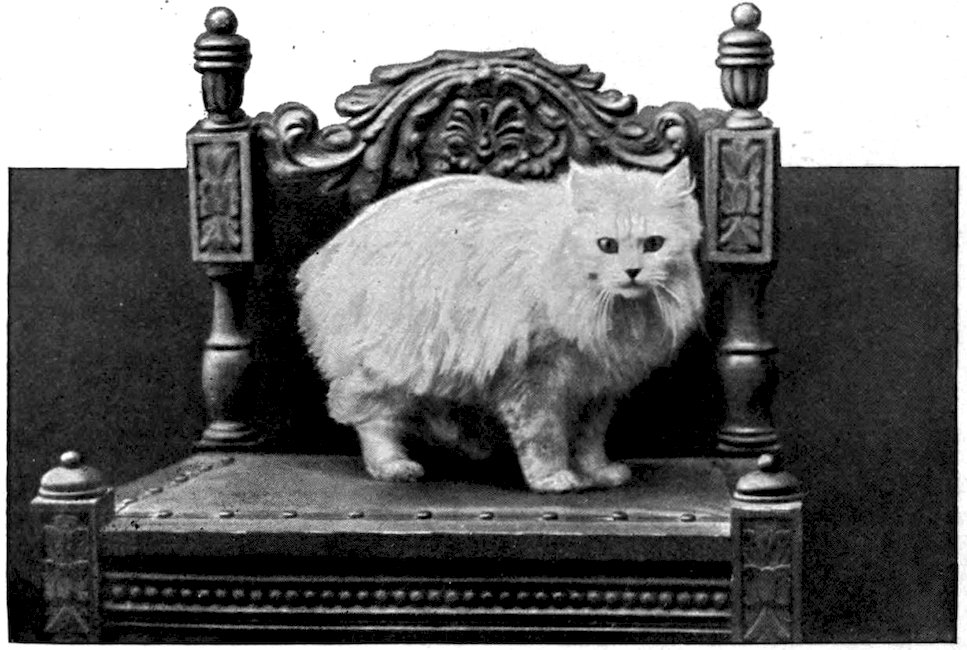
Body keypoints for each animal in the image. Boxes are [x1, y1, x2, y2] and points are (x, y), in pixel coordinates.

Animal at [296, 158, 704, 492]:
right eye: (607, 245)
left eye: (654, 244)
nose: (633, 271)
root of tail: (325, 259)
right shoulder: (532, 377)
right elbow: (544, 437)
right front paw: (552, 479)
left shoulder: (599, 387)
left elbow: (590, 439)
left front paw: (598, 473)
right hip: (387, 364)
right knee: (372, 419)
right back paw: (393, 466)